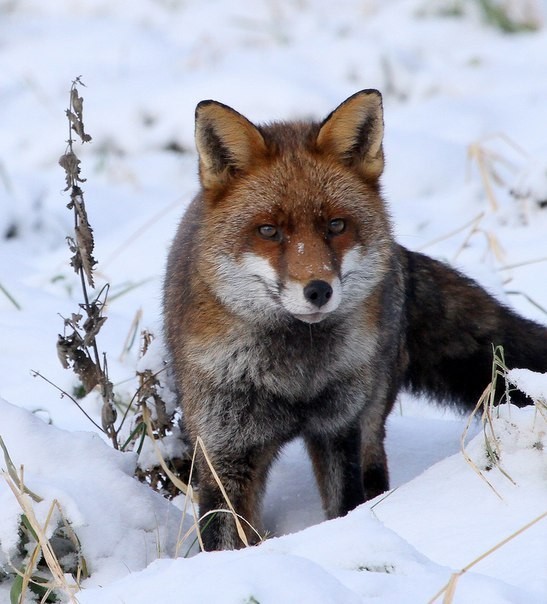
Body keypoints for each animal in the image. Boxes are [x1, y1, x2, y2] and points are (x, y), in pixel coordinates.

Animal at [164, 89, 547, 552]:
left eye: (336, 225)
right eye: (269, 231)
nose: (318, 290)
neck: (294, 378)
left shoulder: (338, 430)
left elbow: (343, 506)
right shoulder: (224, 450)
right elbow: (225, 535)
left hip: (370, 417)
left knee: (374, 475)